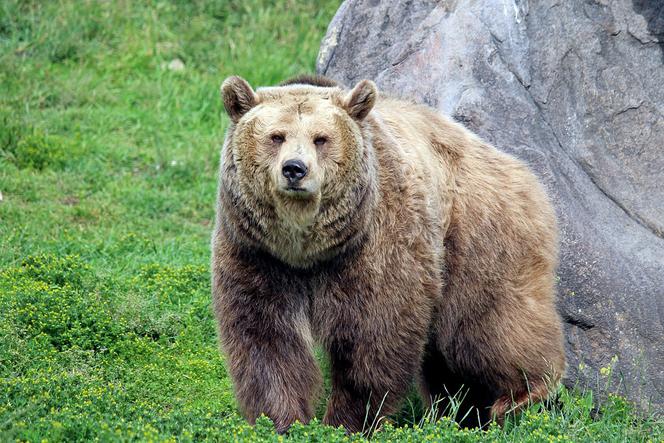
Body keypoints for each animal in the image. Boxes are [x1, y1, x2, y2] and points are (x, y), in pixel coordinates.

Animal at [213, 73, 564, 434]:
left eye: (321, 139)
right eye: (276, 136)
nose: (294, 169)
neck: (307, 250)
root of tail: (521, 169)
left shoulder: (376, 245)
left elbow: (375, 333)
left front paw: (349, 421)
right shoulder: (258, 255)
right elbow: (266, 339)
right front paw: (281, 421)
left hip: (476, 235)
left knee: (484, 326)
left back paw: (522, 395)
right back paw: (462, 412)